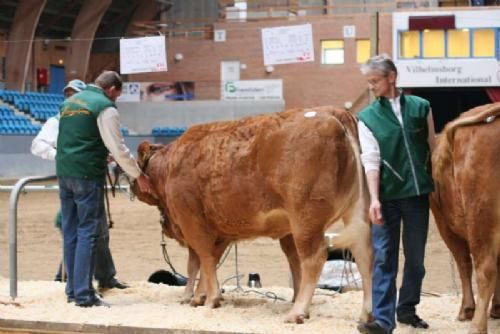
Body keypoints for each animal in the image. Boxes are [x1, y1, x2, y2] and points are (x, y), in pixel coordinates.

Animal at [133, 106, 372, 324]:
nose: (133, 185)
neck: (170, 165)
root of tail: (334, 112)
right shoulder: (220, 229)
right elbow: (206, 260)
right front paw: (199, 296)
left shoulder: (191, 220)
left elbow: (201, 259)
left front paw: (208, 299)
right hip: (357, 211)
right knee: (363, 254)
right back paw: (366, 314)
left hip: (306, 218)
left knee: (315, 258)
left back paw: (297, 311)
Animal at [430, 103, 500, 332]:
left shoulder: (445, 225)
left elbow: (462, 262)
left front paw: (467, 310)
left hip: (479, 217)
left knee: (485, 268)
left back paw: (477, 326)